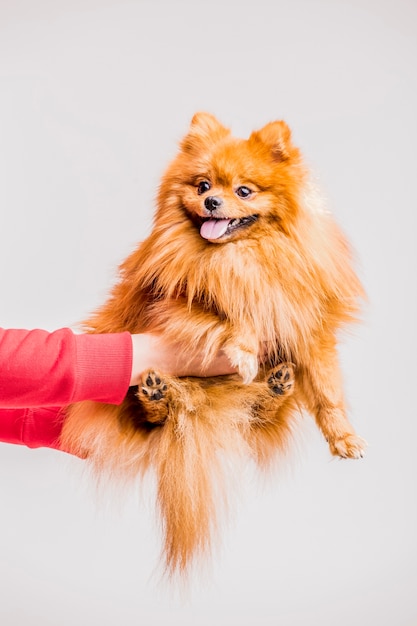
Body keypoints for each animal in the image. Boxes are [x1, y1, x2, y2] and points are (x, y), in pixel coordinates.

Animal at [61, 112, 364, 576]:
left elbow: (328, 392)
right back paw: (157, 394)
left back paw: (274, 387)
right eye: (203, 185)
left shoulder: (308, 327)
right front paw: (244, 349)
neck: (242, 258)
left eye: (244, 191)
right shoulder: (174, 305)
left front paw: (344, 437)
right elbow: (230, 315)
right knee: (153, 417)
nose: (213, 203)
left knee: (259, 412)